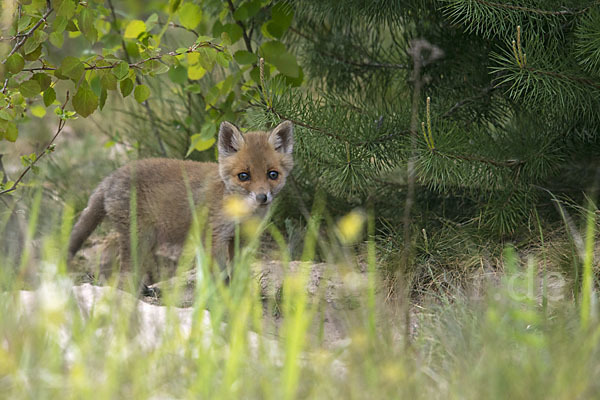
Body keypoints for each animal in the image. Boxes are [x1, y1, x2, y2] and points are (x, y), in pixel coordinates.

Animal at [69, 120, 294, 282]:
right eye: (244, 176)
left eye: (272, 174)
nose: (262, 197)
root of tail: (111, 177)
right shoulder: (215, 237)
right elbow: (220, 276)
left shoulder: (243, 239)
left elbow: (239, 274)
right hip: (137, 238)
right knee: (122, 269)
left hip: (148, 240)